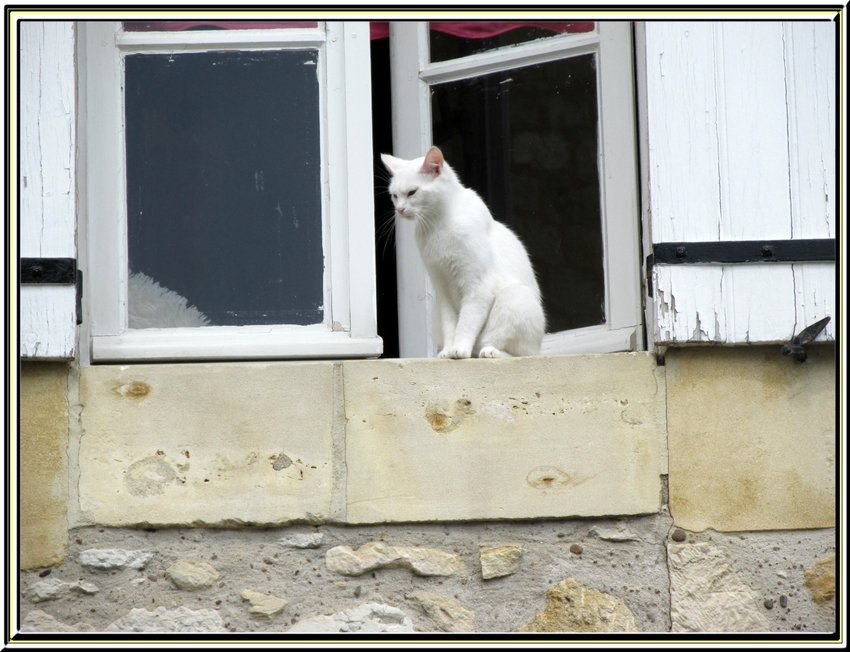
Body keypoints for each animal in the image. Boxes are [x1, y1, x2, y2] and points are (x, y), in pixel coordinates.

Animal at [380, 146, 544, 356]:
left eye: (412, 192)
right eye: (394, 195)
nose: (399, 209)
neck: (437, 225)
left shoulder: (478, 286)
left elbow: (466, 322)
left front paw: (459, 349)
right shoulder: (443, 289)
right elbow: (451, 324)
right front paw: (449, 351)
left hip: (514, 298)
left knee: (518, 352)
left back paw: (489, 352)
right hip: (436, 313)